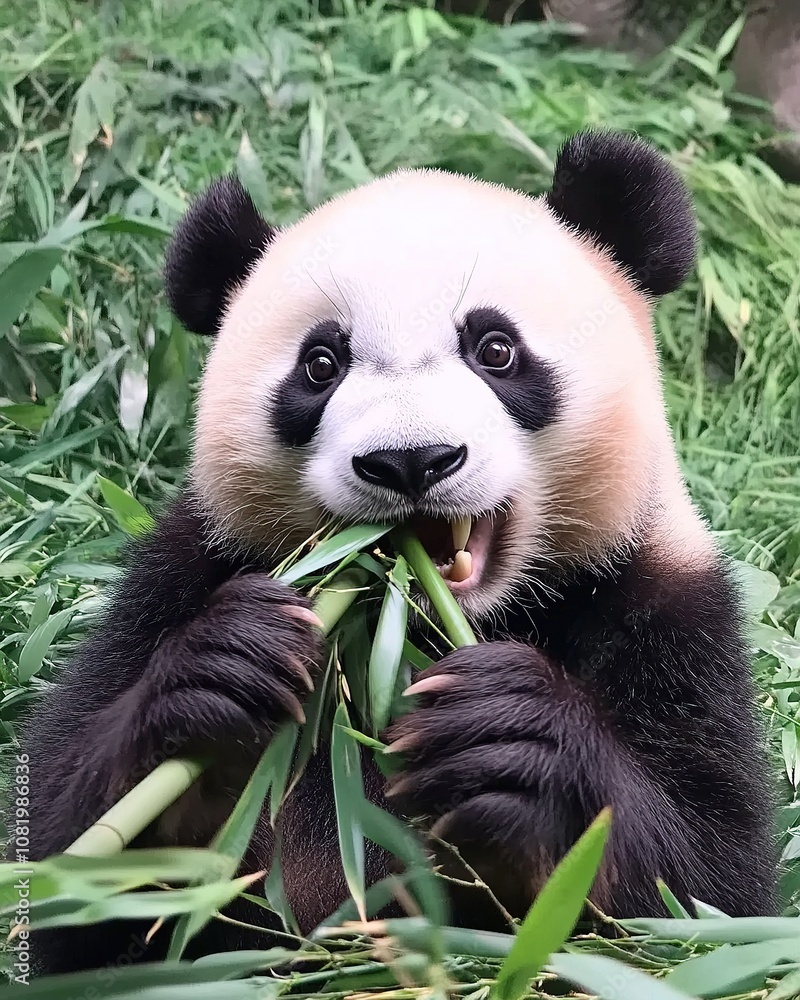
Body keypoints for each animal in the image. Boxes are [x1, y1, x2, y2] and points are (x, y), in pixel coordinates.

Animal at [19, 129, 775, 977]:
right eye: (321, 364)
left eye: (495, 349)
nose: (411, 461)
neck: (409, 637)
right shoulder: (184, 571)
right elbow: (64, 859)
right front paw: (228, 667)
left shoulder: (662, 602)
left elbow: (704, 898)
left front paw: (511, 737)